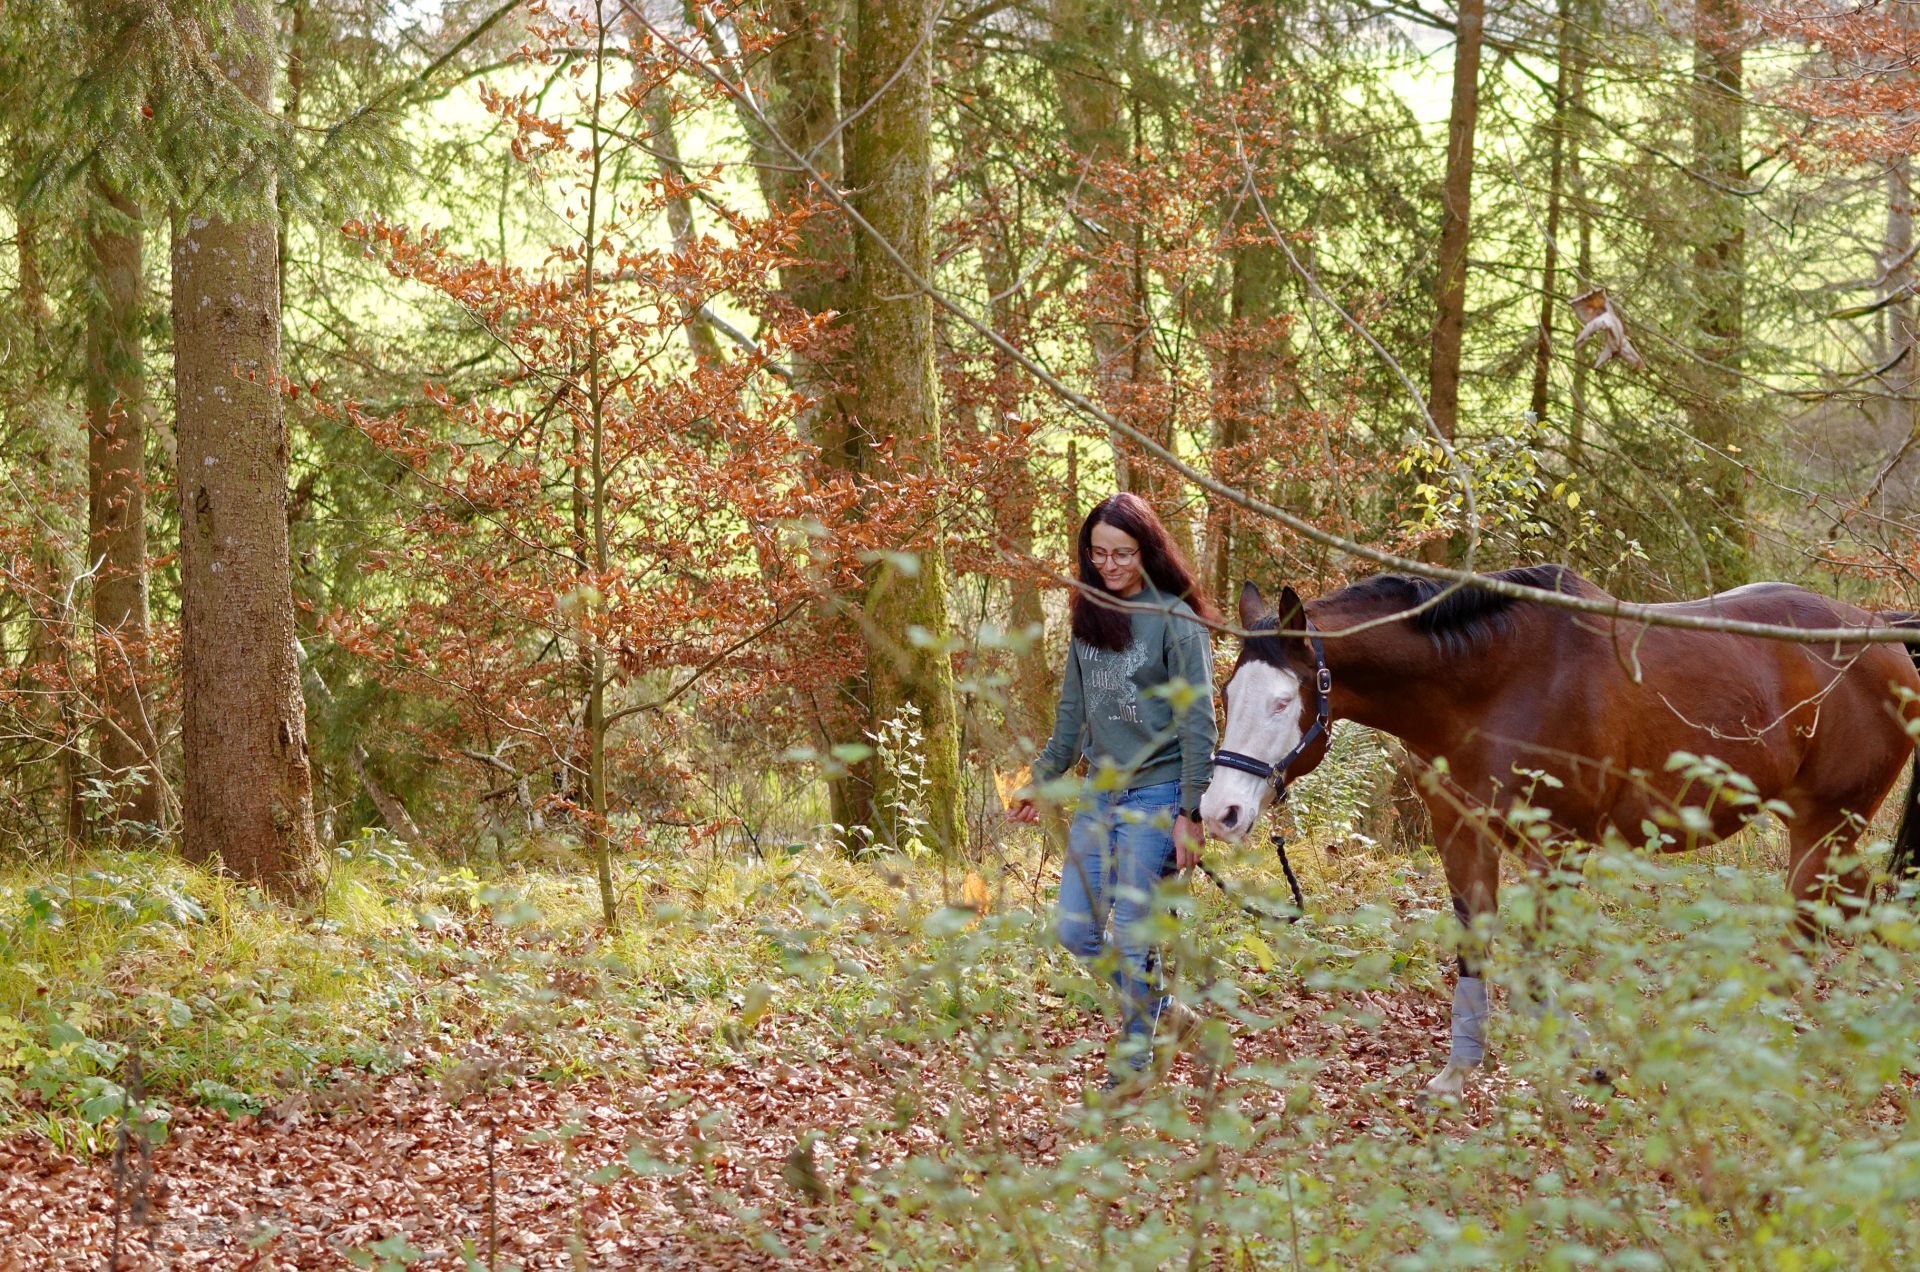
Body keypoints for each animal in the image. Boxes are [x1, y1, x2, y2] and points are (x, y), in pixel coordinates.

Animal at [1197, 565, 1920, 1099]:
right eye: (1228, 695)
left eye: (1284, 701)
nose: (1220, 811)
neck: (1494, 684)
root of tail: (1881, 633)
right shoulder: (1460, 835)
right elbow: (1475, 949)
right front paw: (1460, 1072)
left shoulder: (1559, 849)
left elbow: (1537, 968)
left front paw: (1574, 1066)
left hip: (1827, 825)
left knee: (1808, 929)